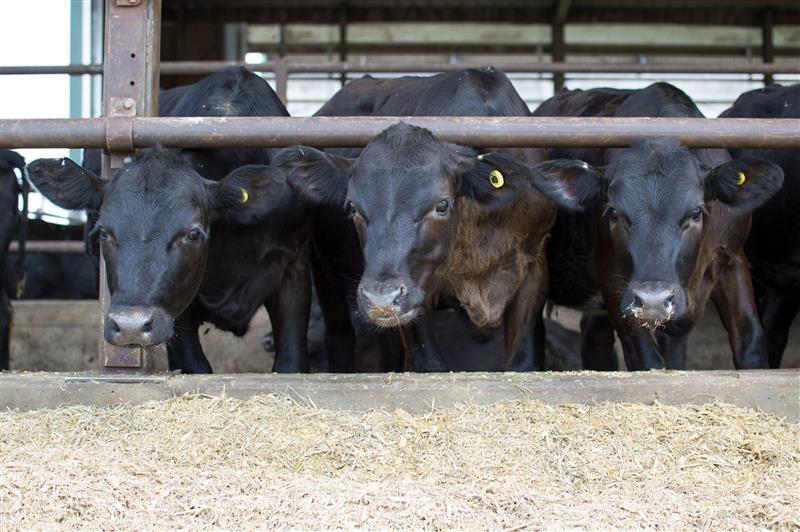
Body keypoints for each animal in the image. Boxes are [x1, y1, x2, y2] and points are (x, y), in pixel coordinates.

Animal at [26, 67, 312, 374]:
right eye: (104, 232)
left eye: (194, 234)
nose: (130, 325)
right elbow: (194, 365)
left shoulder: (294, 270)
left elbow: (291, 361)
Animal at [530, 82, 784, 370]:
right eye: (613, 213)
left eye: (696, 212)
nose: (654, 301)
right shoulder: (612, 276)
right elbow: (645, 358)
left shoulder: (733, 257)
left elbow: (751, 342)